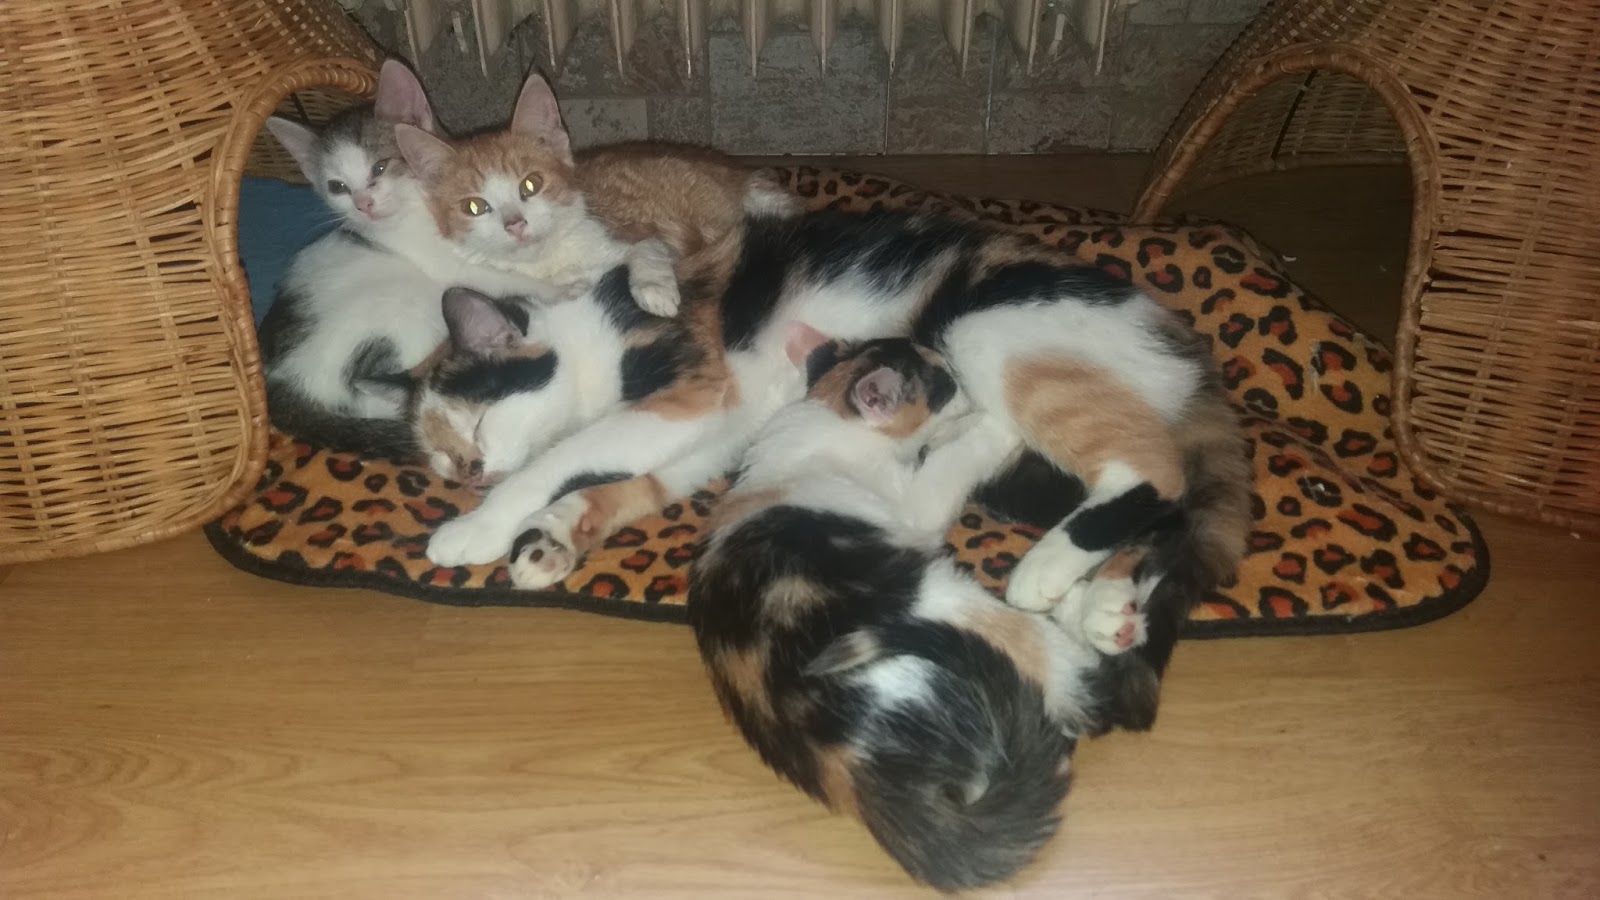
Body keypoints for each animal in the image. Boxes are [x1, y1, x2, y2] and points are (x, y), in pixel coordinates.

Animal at [689, 334, 1152, 890]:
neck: (828, 412)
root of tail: (871, 778)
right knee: (1051, 658)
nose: (966, 381)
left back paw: (1105, 614)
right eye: (944, 382)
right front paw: (996, 422)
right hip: (941, 598)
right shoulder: (916, 503)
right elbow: (953, 459)